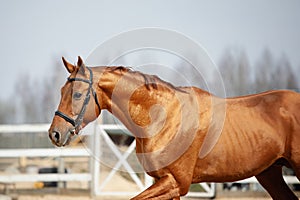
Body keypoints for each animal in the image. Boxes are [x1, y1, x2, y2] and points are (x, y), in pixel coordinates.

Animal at [48, 56, 298, 200]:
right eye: (60, 91)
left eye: (77, 95)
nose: (55, 134)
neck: (162, 117)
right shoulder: (166, 182)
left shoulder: (176, 182)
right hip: (269, 173)